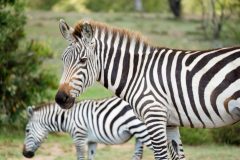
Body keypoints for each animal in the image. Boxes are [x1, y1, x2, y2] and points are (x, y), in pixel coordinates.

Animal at [23, 97, 154, 159]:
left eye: (27, 130)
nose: (24, 154)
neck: (68, 118)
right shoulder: (92, 141)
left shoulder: (79, 139)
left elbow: (80, 158)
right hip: (139, 134)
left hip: (144, 131)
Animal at [54, 19, 240, 159]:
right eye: (63, 59)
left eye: (83, 60)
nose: (60, 98)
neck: (138, 73)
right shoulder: (170, 123)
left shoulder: (154, 116)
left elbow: (162, 156)